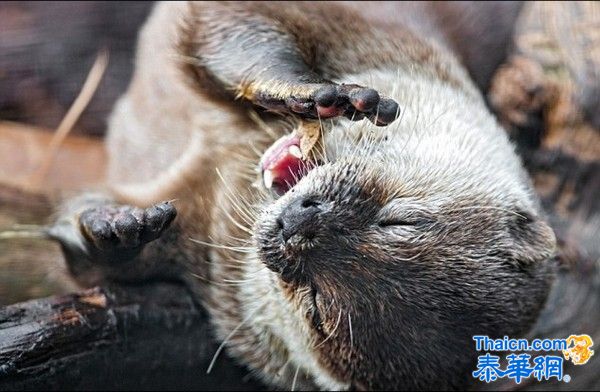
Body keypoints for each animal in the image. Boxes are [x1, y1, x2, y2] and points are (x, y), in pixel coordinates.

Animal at [48, 1, 556, 390]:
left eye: (319, 308)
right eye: (399, 220)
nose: (297, 222)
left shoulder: (203, 242)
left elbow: (95, 269)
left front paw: (119, 230)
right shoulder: (364, 25)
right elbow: (233, 21)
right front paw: (310, 93)